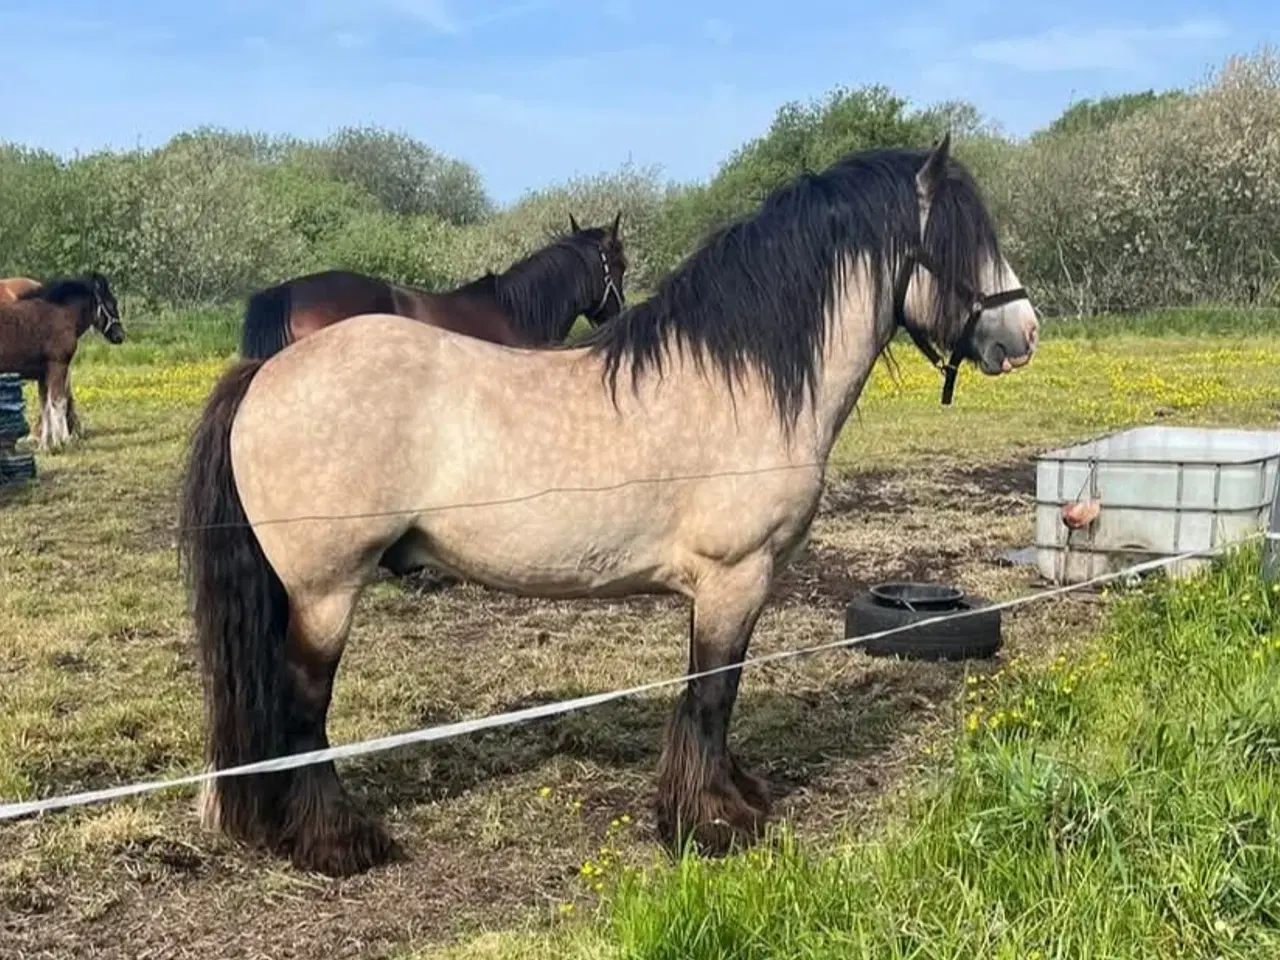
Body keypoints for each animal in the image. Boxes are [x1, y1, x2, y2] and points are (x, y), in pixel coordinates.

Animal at [0, 271, 124, 450]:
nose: (120, 335)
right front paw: (61, 442)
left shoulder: (43, 374)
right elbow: (59, 402)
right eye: (111, 303)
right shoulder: (58, 366)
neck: (58, 313)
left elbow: (45, 406)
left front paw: (46, 445)